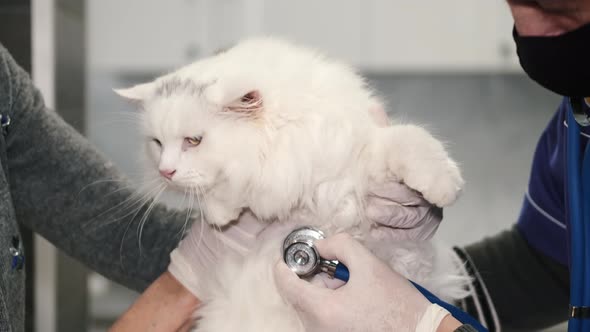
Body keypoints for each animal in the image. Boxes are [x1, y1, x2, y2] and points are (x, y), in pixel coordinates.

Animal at [118, 37, 470, 330]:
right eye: (157, 143)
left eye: (193, 141)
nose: (165, 171)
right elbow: (221, 195)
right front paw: (222, 216)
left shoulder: (360, 166)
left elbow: (410, 142)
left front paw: (445, 189)